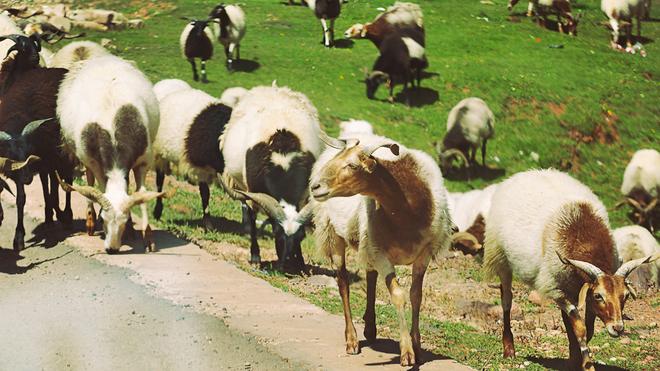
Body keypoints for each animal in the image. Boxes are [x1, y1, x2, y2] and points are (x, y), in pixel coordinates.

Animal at [152, 88, 232, 227]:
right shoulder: (199, 167)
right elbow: (205, 193)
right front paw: (208, 224)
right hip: (160, 154)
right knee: (159, 181)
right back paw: (157, 212)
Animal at [220, 85, 324, 272]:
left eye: (301, 237)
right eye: (277, 233)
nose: (287, 263)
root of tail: (274, 88)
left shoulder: (304, 195)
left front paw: (301, 262)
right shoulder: (253, 193)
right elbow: (253, 219)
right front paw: (255, 257)